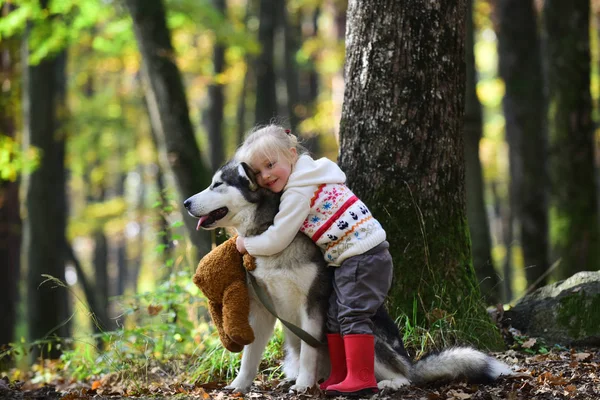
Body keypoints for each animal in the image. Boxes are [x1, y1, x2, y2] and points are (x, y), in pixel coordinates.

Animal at [185, 161, 512, 392]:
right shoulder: (262, 310)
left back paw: (385, 382)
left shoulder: (311, 305)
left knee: (402, 374)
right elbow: (249, 356)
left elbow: (309, 351)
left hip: (376, 342)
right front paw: (238, 386)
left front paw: (303, 386)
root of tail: (409, 360)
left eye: (217, 184)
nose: (187, 202)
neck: (268, 233)